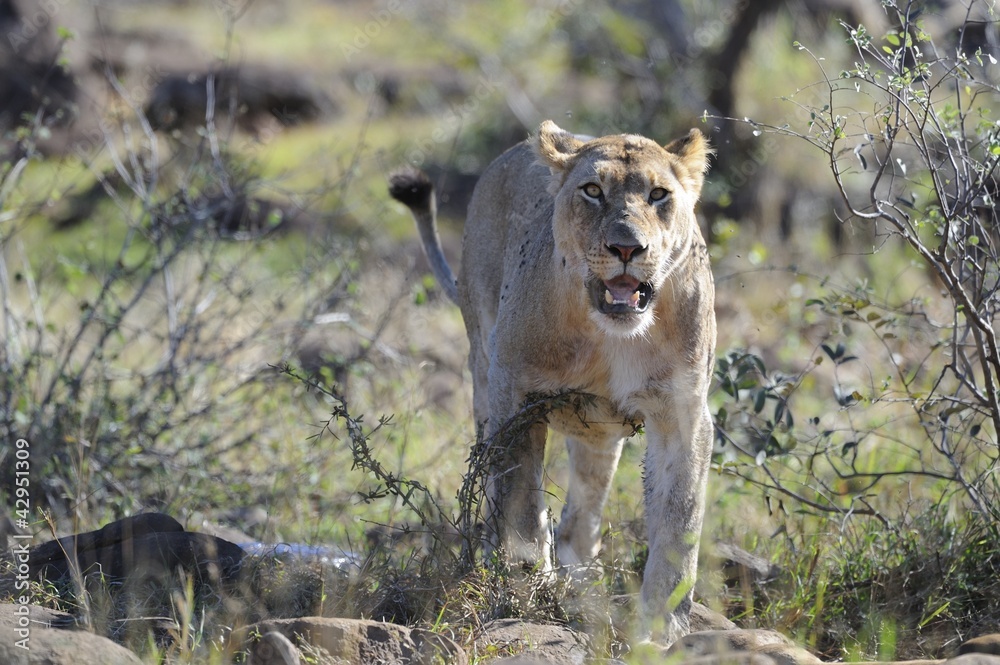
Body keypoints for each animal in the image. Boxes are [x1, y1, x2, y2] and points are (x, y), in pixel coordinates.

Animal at [389, 120, 715, 645]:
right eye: (592, 191)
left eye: (658, 194)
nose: (628, 248)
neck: (610, 337)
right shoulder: (516, 395)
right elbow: (521, 502)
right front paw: (526, 588)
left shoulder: (682, 414)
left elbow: (678, 521)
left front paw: (659, 630)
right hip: (483, 370)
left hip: (598, 434)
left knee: (581, 518)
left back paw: (582, 585)